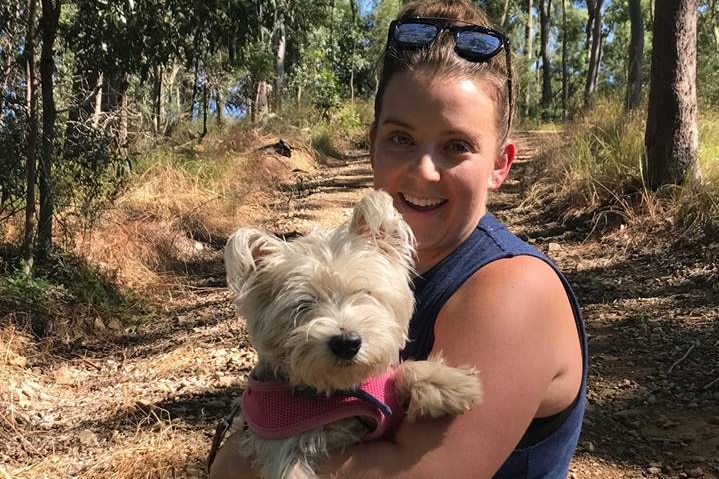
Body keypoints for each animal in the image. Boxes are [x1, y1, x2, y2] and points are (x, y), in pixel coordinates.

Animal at [225, 191, 484, 479]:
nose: (347, 343)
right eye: (303, 305)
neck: (339, 393)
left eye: (364, 293)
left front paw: (445, 383)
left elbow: (398, 373)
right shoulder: (281, 450)